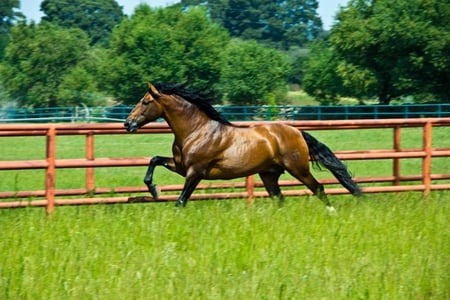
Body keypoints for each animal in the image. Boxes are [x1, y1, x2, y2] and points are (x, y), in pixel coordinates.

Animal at [124, 82, 362, 211]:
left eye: (145, 101)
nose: (128, 123)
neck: (196, 131)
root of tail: (297, 132)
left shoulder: (195, 172)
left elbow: (181, 201)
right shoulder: (181, 166)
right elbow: (154, 160)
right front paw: (154, 190)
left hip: (298, 169)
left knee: (318, 188)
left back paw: (332, 211)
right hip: (269, 174)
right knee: (279, 198)